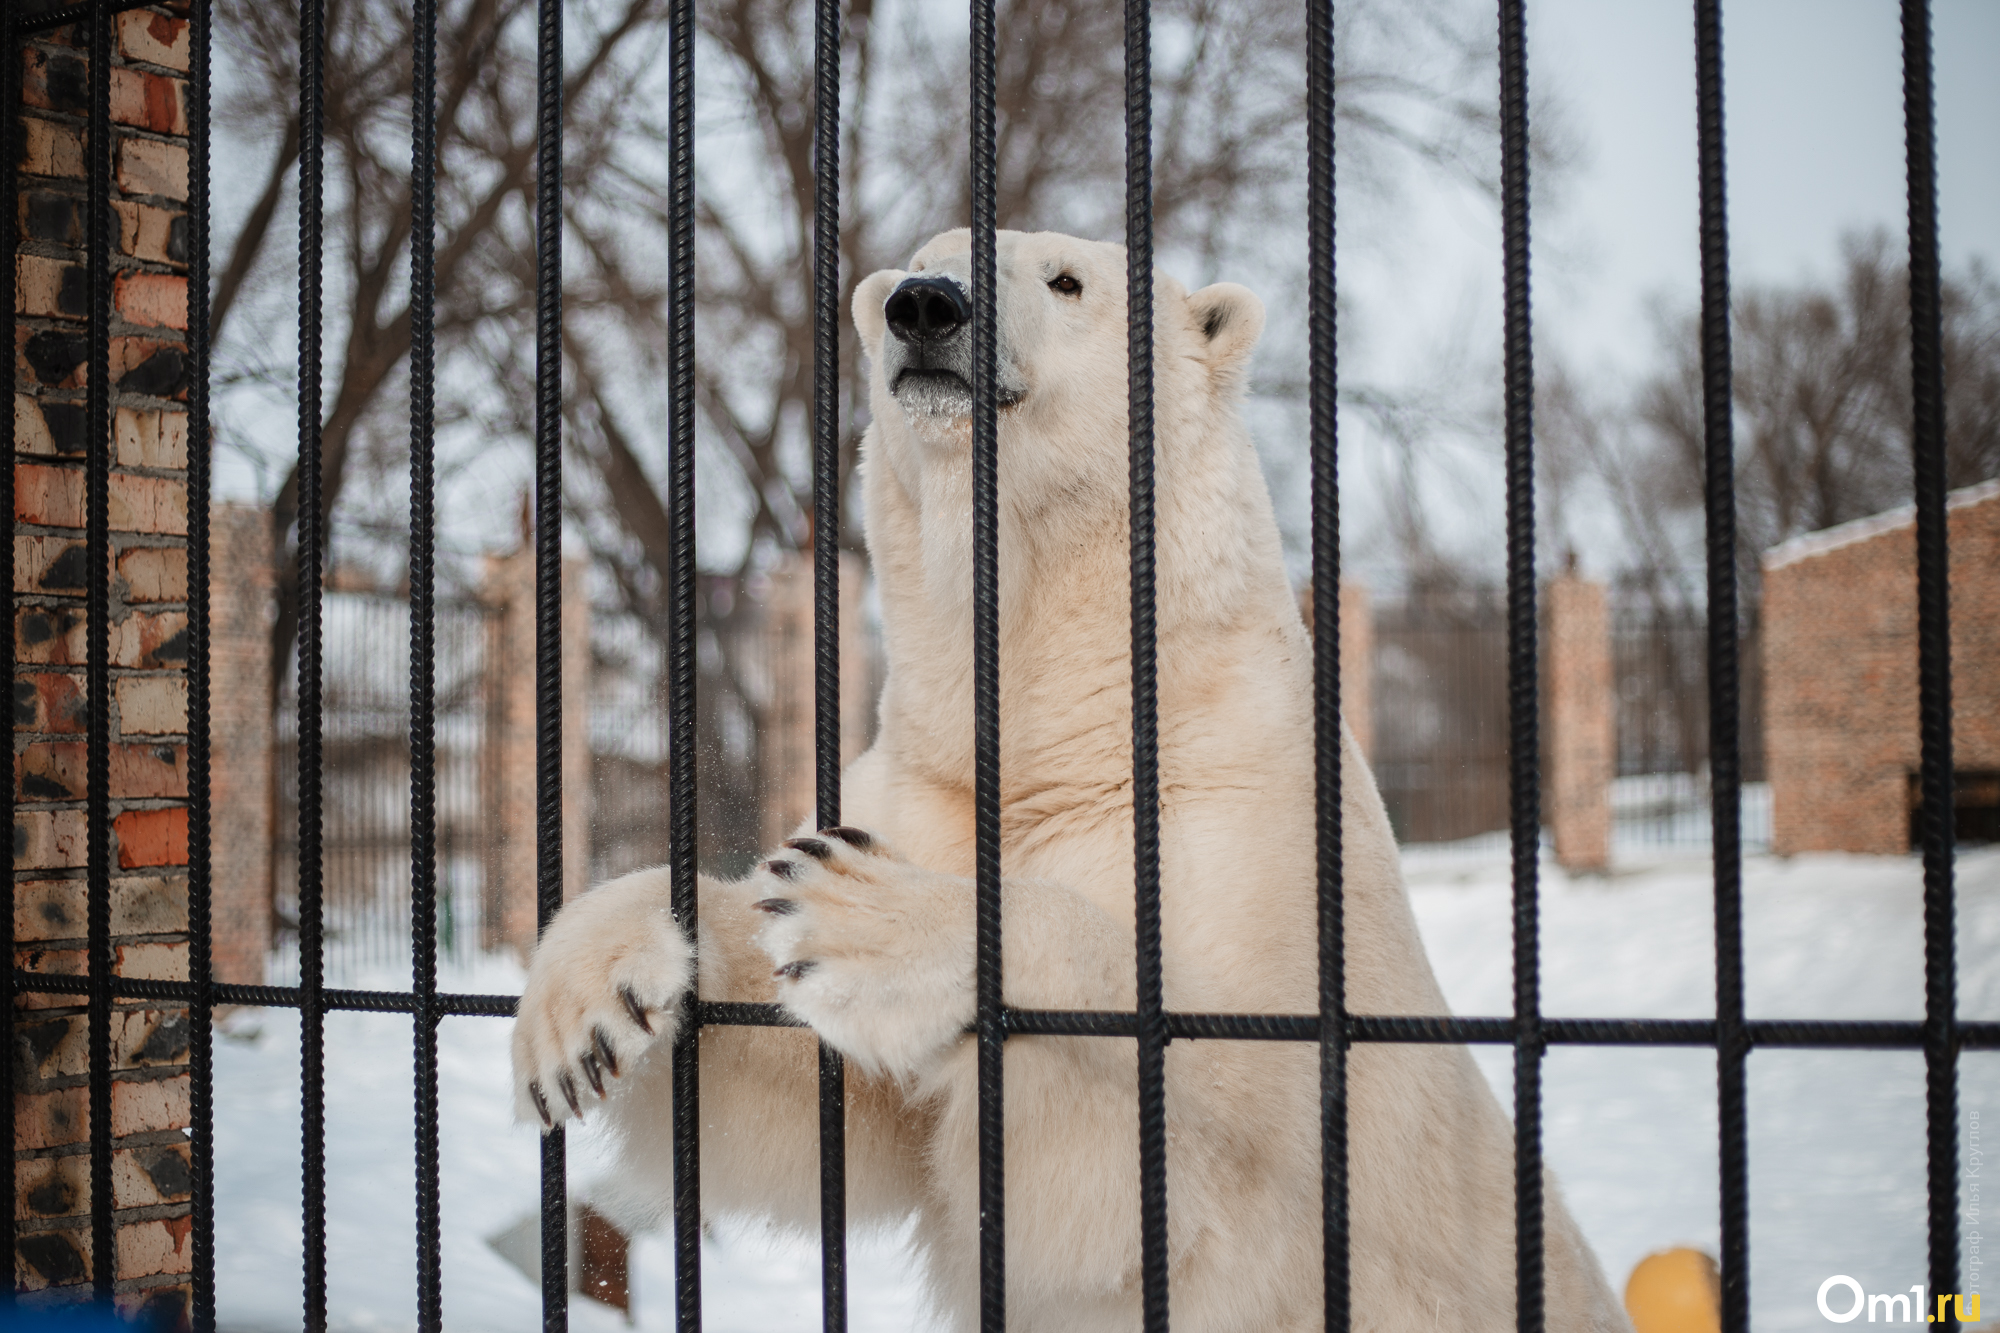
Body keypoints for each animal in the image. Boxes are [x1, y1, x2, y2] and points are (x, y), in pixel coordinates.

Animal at [512, 231, 1624, 1328]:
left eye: (1066, 279)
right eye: (919, 259)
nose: (925, 304)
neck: (1076, 725)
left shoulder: (1246, 839)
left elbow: (1178, 1126)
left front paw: (864, 913)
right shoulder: (926, 788)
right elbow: (825, 1112)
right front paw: (584, 1012)